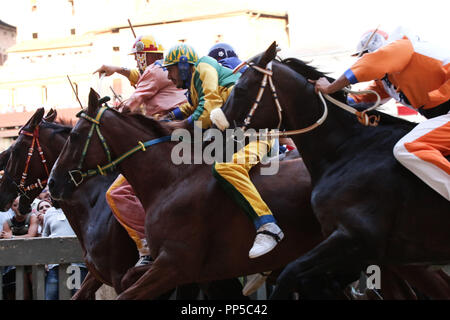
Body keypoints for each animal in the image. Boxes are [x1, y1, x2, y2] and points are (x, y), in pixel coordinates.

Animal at [219, 41, 450, 298]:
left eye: (240, 89)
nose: (216, 125)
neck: (347, 149)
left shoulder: (356, 239)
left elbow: (290, 273)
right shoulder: (365, 254)